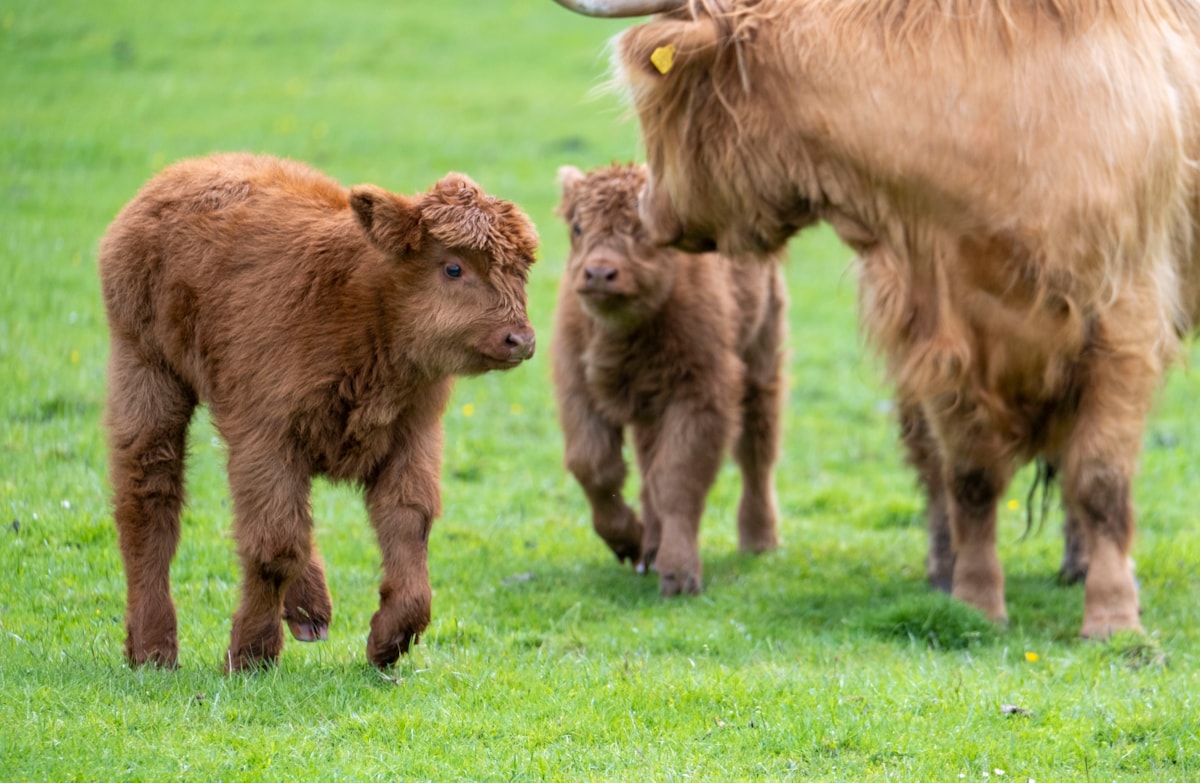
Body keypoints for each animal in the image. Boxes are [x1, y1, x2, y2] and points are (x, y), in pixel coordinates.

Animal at [98, 153, 538, 671]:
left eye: (521, 270)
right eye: (453, 268)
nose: (520, 339)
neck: (357, 304)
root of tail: (179, 174)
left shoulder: (412, 435)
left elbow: (409, 524)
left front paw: (388, 641)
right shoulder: (265, 437)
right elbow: (274, 546)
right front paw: (250, 653)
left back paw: (310, 611)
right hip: (146, 371)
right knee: (148, 496)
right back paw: (152, 647)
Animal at [552, 163, 787, 595]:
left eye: (642, 230)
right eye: (577, 226)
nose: (599, 273)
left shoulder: (700, 397)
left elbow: (677, 477)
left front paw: (678, 574)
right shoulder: (578, 389)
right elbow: (595, 467)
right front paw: (629, 542)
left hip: (761, 364)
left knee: (756, 452)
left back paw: (758, 539)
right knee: (648, 464)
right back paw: (649, 547)